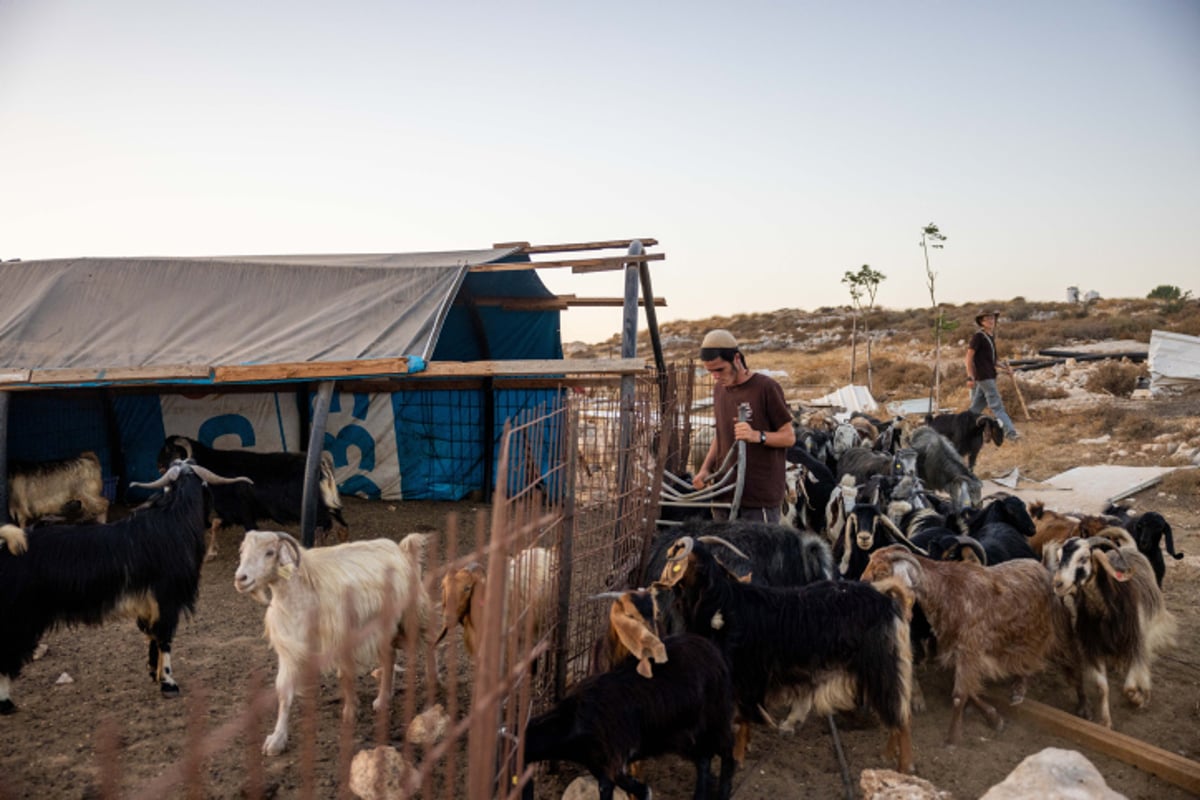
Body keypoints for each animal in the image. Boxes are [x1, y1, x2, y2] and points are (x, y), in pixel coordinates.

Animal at [0, 455, 247, 714]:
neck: (173, 521)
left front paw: (154, 672)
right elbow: (165, 638)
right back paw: (6, 703)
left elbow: (152, 636)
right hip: (20, 617)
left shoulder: (149, 604)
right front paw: (169, 683)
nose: (215, 518)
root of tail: (7, 548)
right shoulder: (167, 598)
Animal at [234, 532, 436, 758]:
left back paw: (432, 680)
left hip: (412, 615)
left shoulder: (342, 638)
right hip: (383, 627)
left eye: (270, 552)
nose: (241, 578)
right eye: (242, 551)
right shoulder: (289, 650)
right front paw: (276, 740)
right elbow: (284, 692)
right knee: (389, 656)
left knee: (429, 641)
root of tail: (402, 550)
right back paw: (383, 698)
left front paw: (350, 712)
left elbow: (345, 675)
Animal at [520, 633, 734, 796]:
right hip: (685, 733)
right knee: (704, 759)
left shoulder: (612, 762)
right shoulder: (602, 767)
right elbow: (639, 790)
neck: (573, 721)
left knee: (726, 751)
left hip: (716, 717)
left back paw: (724, 792)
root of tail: (714, 652)